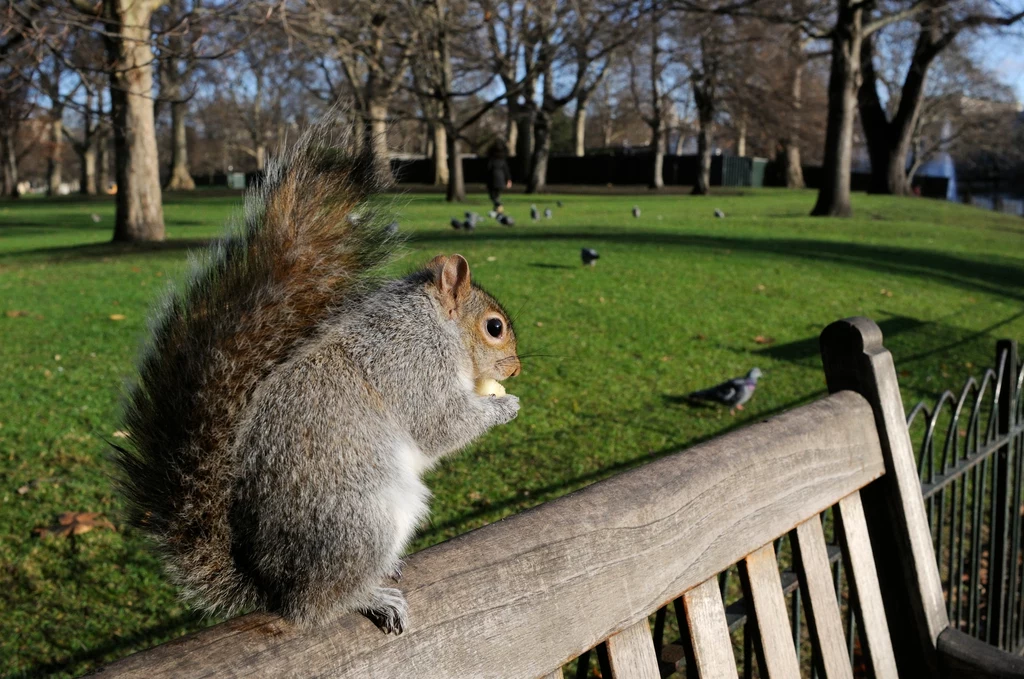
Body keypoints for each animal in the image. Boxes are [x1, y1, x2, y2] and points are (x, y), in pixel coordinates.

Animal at [114, 130, 520, 634]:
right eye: (494, 328)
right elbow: (438, 425)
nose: (515, 369)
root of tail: (270, 582)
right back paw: (368, 598)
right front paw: (505, 407)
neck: (436, 324)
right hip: (362, 522)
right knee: (312, 608)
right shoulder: (411, 363)